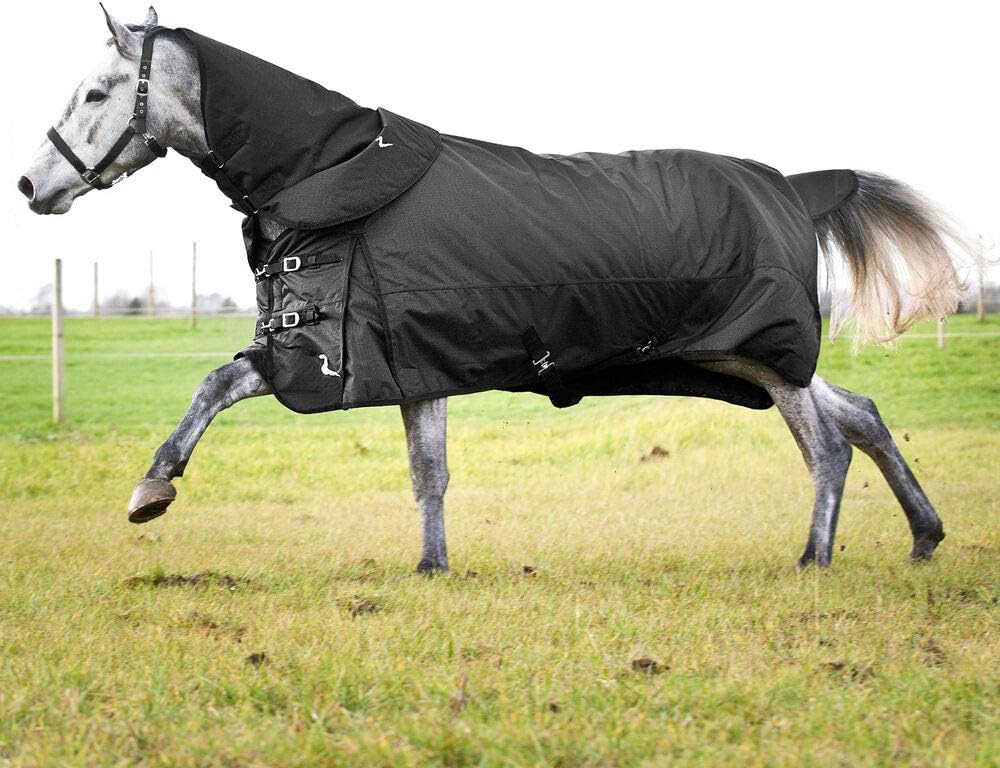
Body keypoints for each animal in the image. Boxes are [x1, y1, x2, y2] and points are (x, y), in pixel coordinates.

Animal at [17, 6, 971, 573]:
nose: (34, 186)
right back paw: (923, 538)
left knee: (830, 446)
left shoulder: (345, 350)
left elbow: (251, 397)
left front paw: (153, 489)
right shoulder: (380, 357)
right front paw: (431, 568)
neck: (334, 173)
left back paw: (816, 560)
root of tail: (798, 187)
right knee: (862, 415)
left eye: (97, 92)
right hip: (739, 358)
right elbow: (411, 466)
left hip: (766, 354)